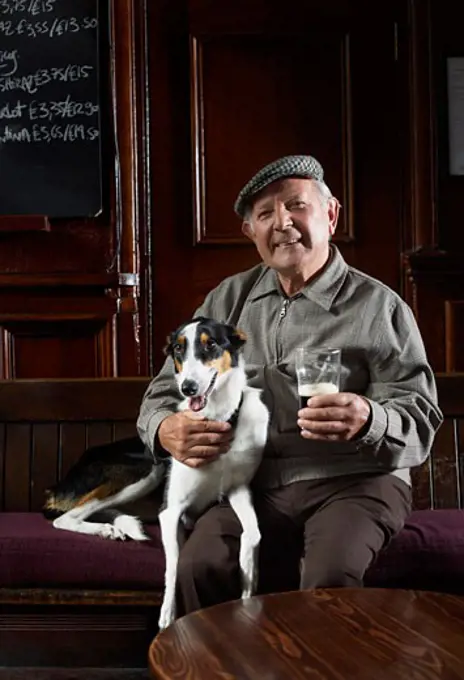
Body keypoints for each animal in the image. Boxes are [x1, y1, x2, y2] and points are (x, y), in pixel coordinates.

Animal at [159, 316, 270, 628]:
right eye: (178, 349)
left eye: (211, 344)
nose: (188, 388)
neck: (218, 419)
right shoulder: (170, 512)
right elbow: (173, 565)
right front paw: (168, 613)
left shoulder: (239, 489)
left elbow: (254, 534)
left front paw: (248, 579)